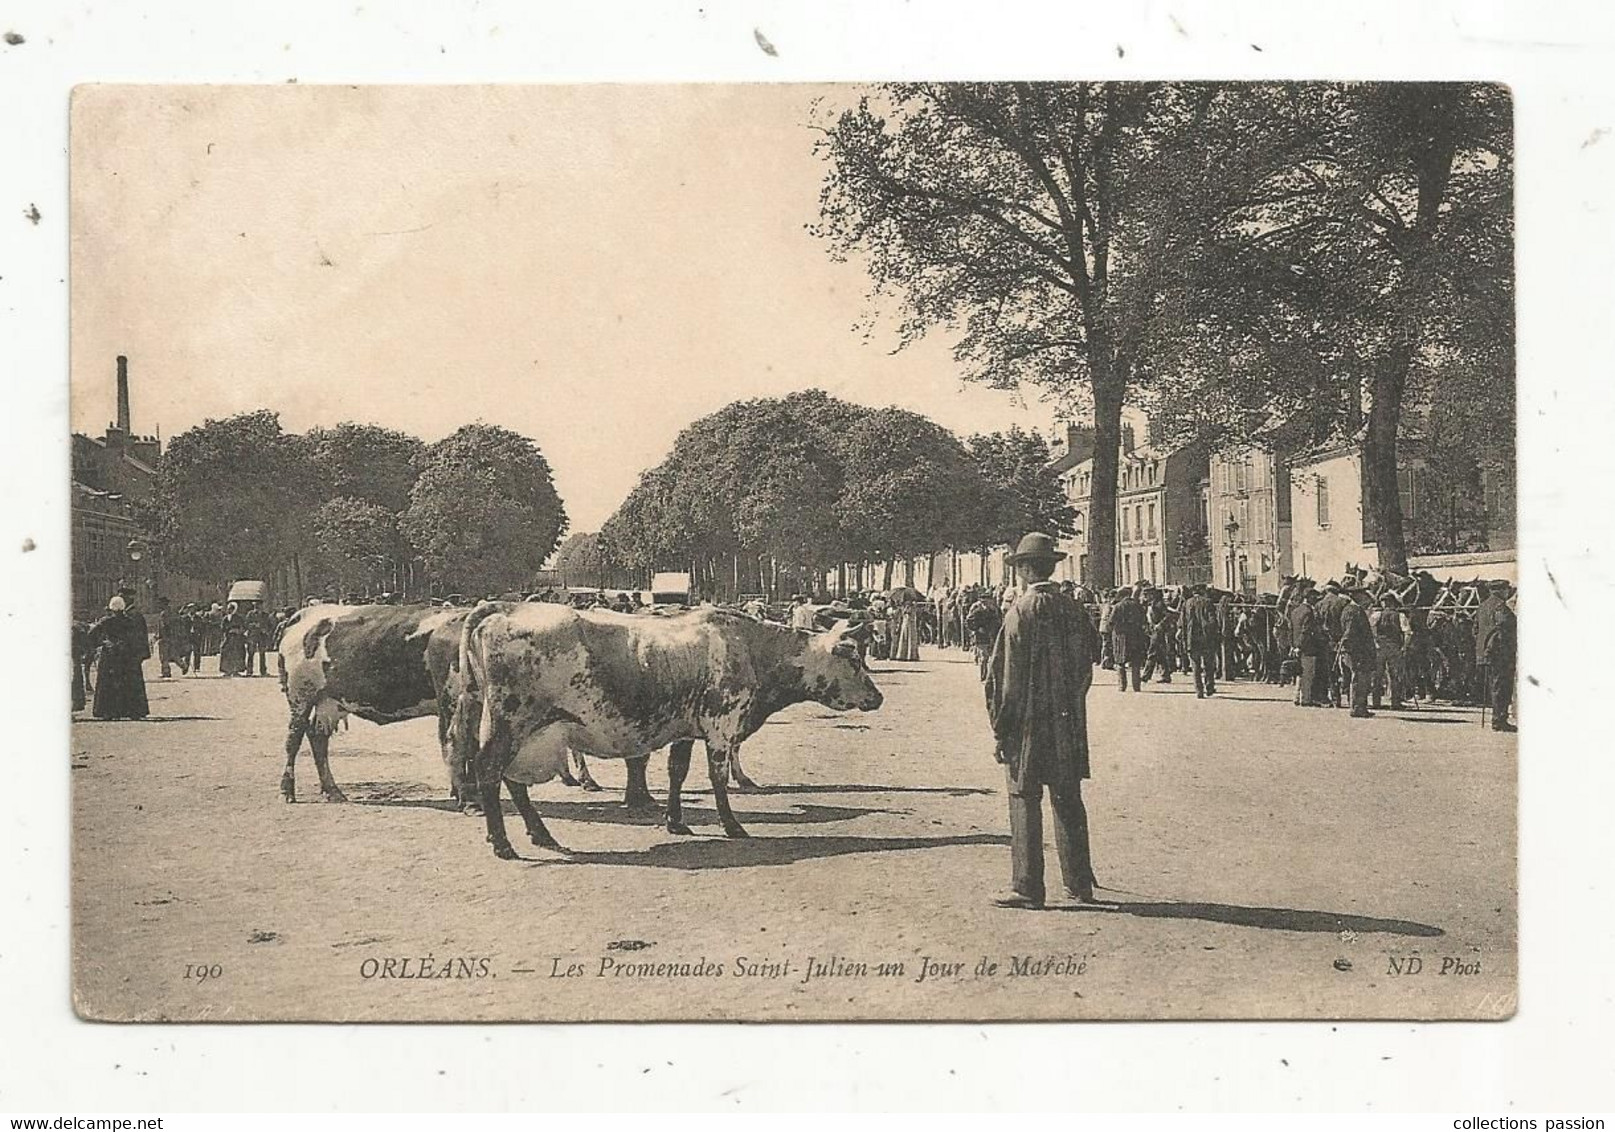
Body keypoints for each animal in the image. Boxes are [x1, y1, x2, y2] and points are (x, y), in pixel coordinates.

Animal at [455, 600, 885, 859]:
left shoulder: (686, 730)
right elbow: (718, 779)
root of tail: (503, 609)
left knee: (513, 781)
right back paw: (502, 843)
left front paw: (675, 821)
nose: (877, 697)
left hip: (525, 733)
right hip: (512, 723)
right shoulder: (720, 726)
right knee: (490, 772)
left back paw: (541, 834)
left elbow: (677, 772)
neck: (749, 647)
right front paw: (732, 825)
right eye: (854, 660)